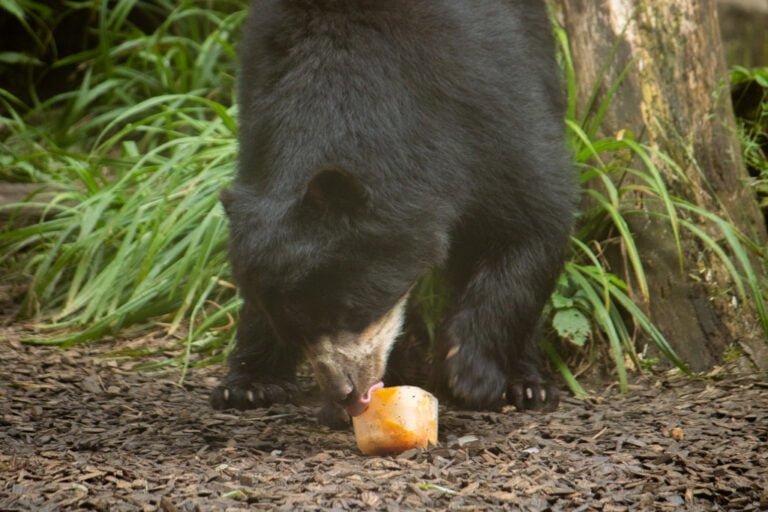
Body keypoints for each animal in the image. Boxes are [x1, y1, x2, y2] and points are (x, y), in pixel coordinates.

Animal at [210, 0, 576, 424]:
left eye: (346, 314)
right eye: (298, 332)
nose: (346, 394)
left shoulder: (485, 96)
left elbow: (534, 217)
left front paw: (468, 371)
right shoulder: (259, 100)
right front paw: (248, 384)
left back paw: (527, 385)